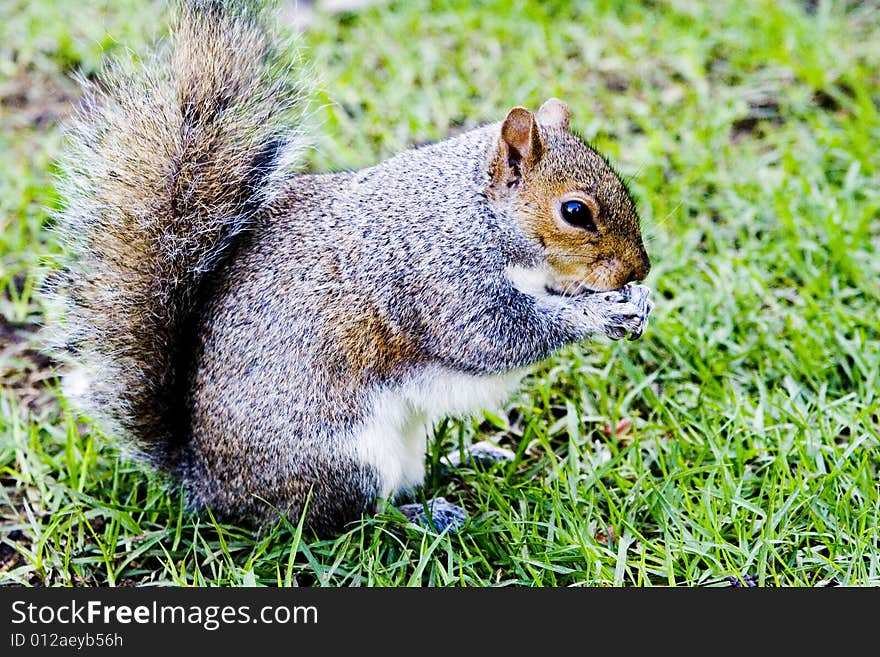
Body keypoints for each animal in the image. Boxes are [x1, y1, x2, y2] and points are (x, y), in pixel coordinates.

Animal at [49, 0, 652, 536]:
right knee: (353, 519)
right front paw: (598, 315)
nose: (639, 271)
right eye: (574, 212)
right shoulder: (437, 278)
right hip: (341, 457)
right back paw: (426, 515)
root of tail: (207, 482)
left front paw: (635, 305)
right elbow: (495, 338)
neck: (474, 212)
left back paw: (469, 459)